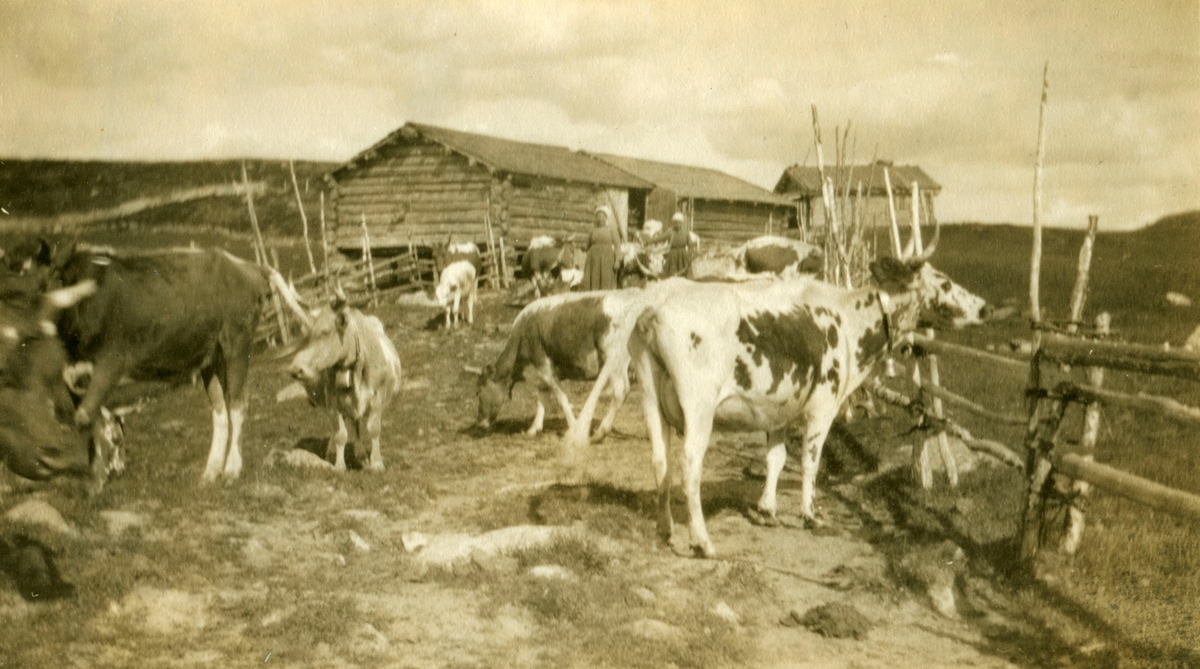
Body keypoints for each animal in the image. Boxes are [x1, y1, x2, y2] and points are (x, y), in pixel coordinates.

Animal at [51, 246, 304, 486]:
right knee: (220, 410)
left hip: (237, 344)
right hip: (211, 357)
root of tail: (246, 265)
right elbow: (90, 418)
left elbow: (85, 417)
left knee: (238, 404)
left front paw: (97, 478)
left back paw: (231, 470)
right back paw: (210, 472)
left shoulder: (111, 361)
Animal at [285, 288, 403, 472]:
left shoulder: (378, 395)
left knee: (356, 425)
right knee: (337, 428)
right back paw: (333, 452)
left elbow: (373, 429)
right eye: (307, 337)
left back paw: (362, 456)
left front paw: (376, 463)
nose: (295, 369)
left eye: (326, 331)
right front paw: (339, 465)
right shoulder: (332, 399)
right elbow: (340, 434)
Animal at [624, 239, 988, 556]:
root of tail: (656, 307)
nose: (985, 307)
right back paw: (701, 541)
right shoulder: (823, 406)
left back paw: (666, 529)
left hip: (650, 398)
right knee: (689, 465)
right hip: (698, 407)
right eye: (944, 283)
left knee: (660, 460)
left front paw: (767, 510)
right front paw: (810, 514)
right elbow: (810, 460)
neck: (850, 319)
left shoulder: (776, 407)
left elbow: (776, 457)